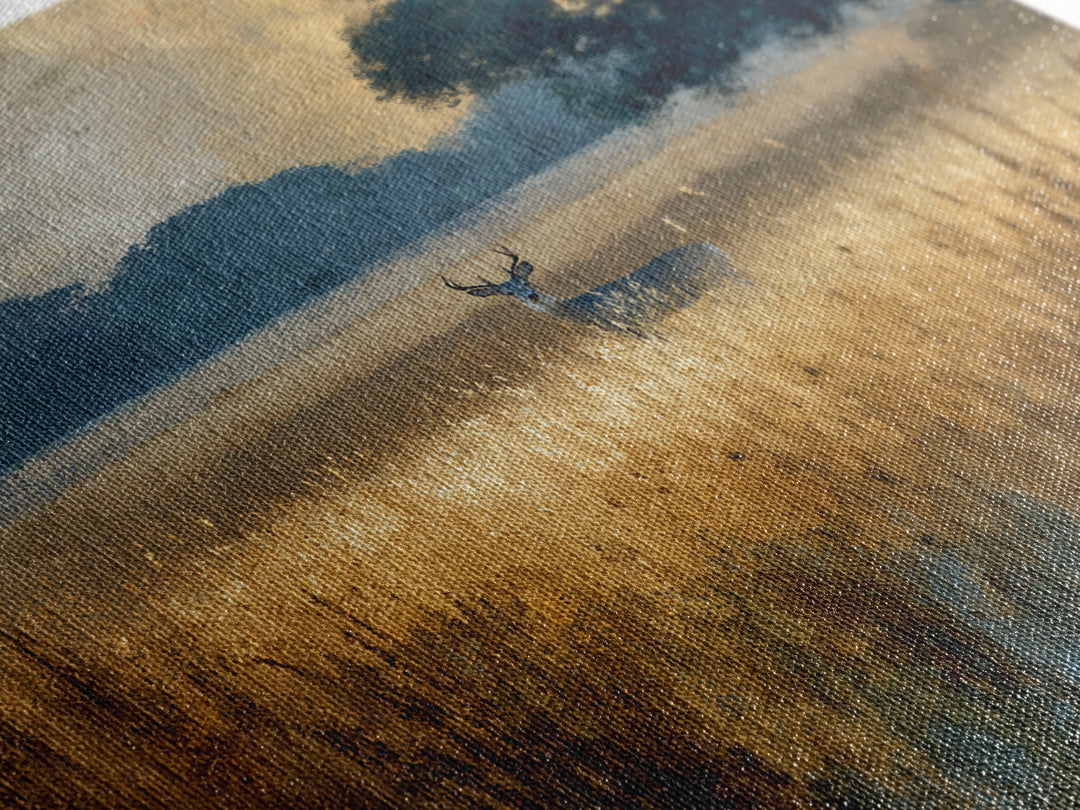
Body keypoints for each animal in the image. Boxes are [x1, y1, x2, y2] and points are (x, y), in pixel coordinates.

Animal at [443, 243, 739, 334]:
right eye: (508, 292)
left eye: (525, 282)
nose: (533, 296)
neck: (587, 308)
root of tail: (711, 247)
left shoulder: (635, 324)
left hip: (727, 276)